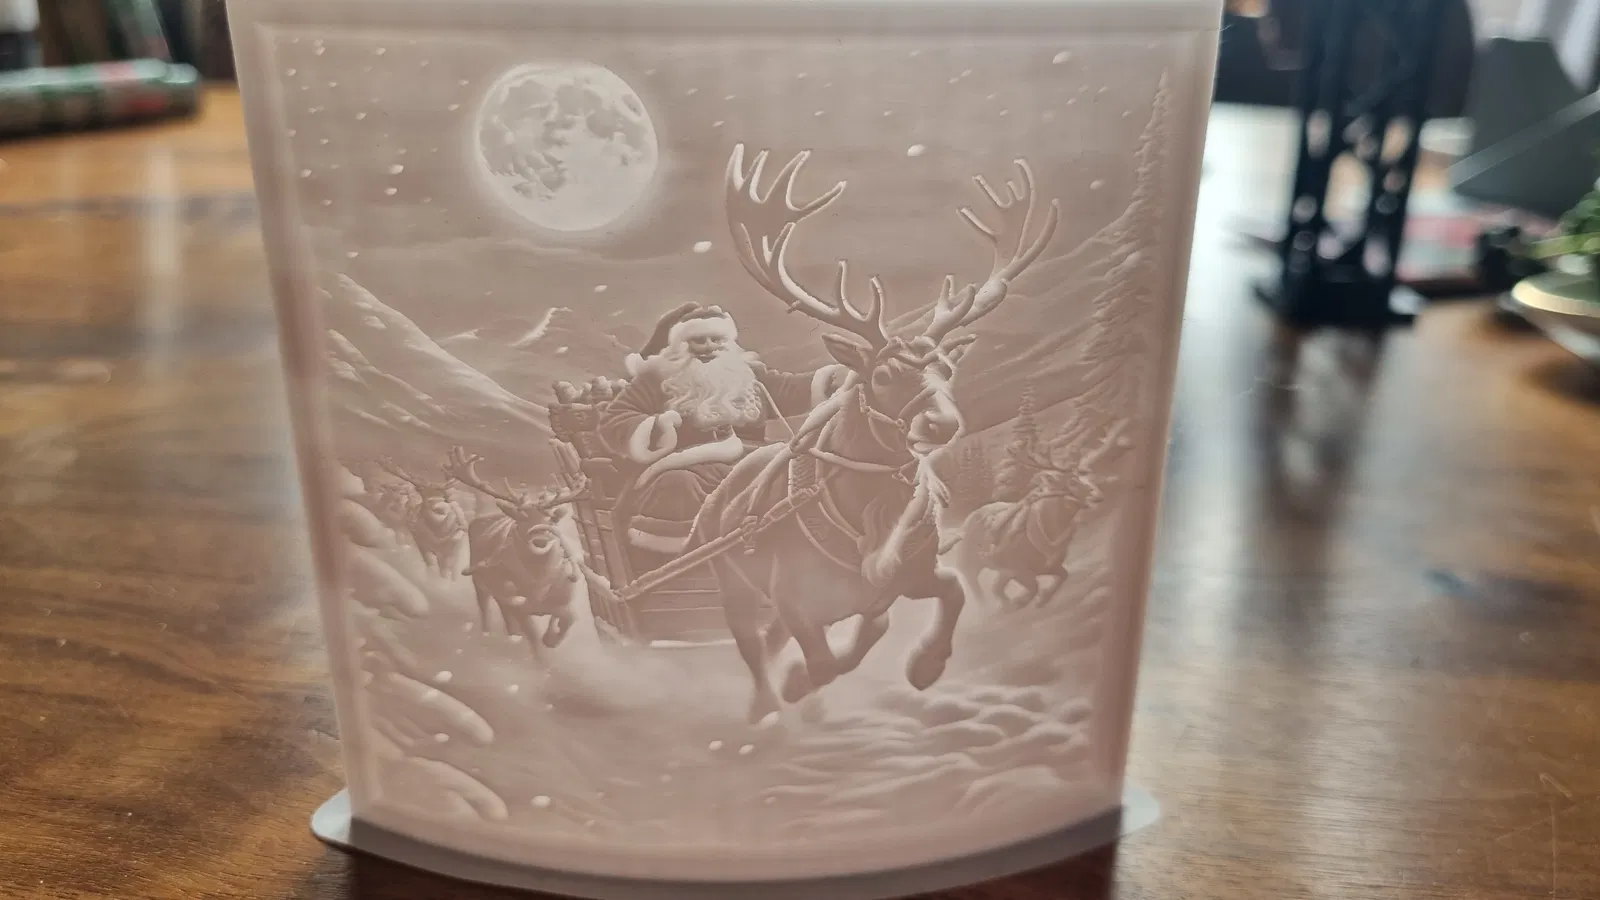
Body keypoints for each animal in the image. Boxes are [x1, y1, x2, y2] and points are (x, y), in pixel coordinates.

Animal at [443, 447, 609, 650]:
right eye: (522, 518)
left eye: (551, 519)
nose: (540, 540)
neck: (538, 586)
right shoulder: (516, 603)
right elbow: (534, 638)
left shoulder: (564, 601)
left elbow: (566, 622)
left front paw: (550, 638)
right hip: (479, 581)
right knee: (487, 611)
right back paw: (489, 635)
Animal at [686, 143, 1060, 722]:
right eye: (882, 375)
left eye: (946, 370)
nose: (942, 423)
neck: (868, 519)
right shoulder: (794, 598)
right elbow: (821, 663)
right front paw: (796, 689)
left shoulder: (914, 572)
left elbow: (948, 593)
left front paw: (926, 667)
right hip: (732, 584)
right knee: (753, 646)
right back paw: (763, 708)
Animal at [950, 417, 1131, 609]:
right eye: (1072, 481)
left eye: (1087, 474)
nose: (1097, 495)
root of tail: (962, 529)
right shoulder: (1017, 568)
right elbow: (1033, 587)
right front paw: (1025, 601)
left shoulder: (1043, 567)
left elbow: (1062, 576)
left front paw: (1038, 599)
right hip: (969, 566)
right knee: (976, 590)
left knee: (995, 588)